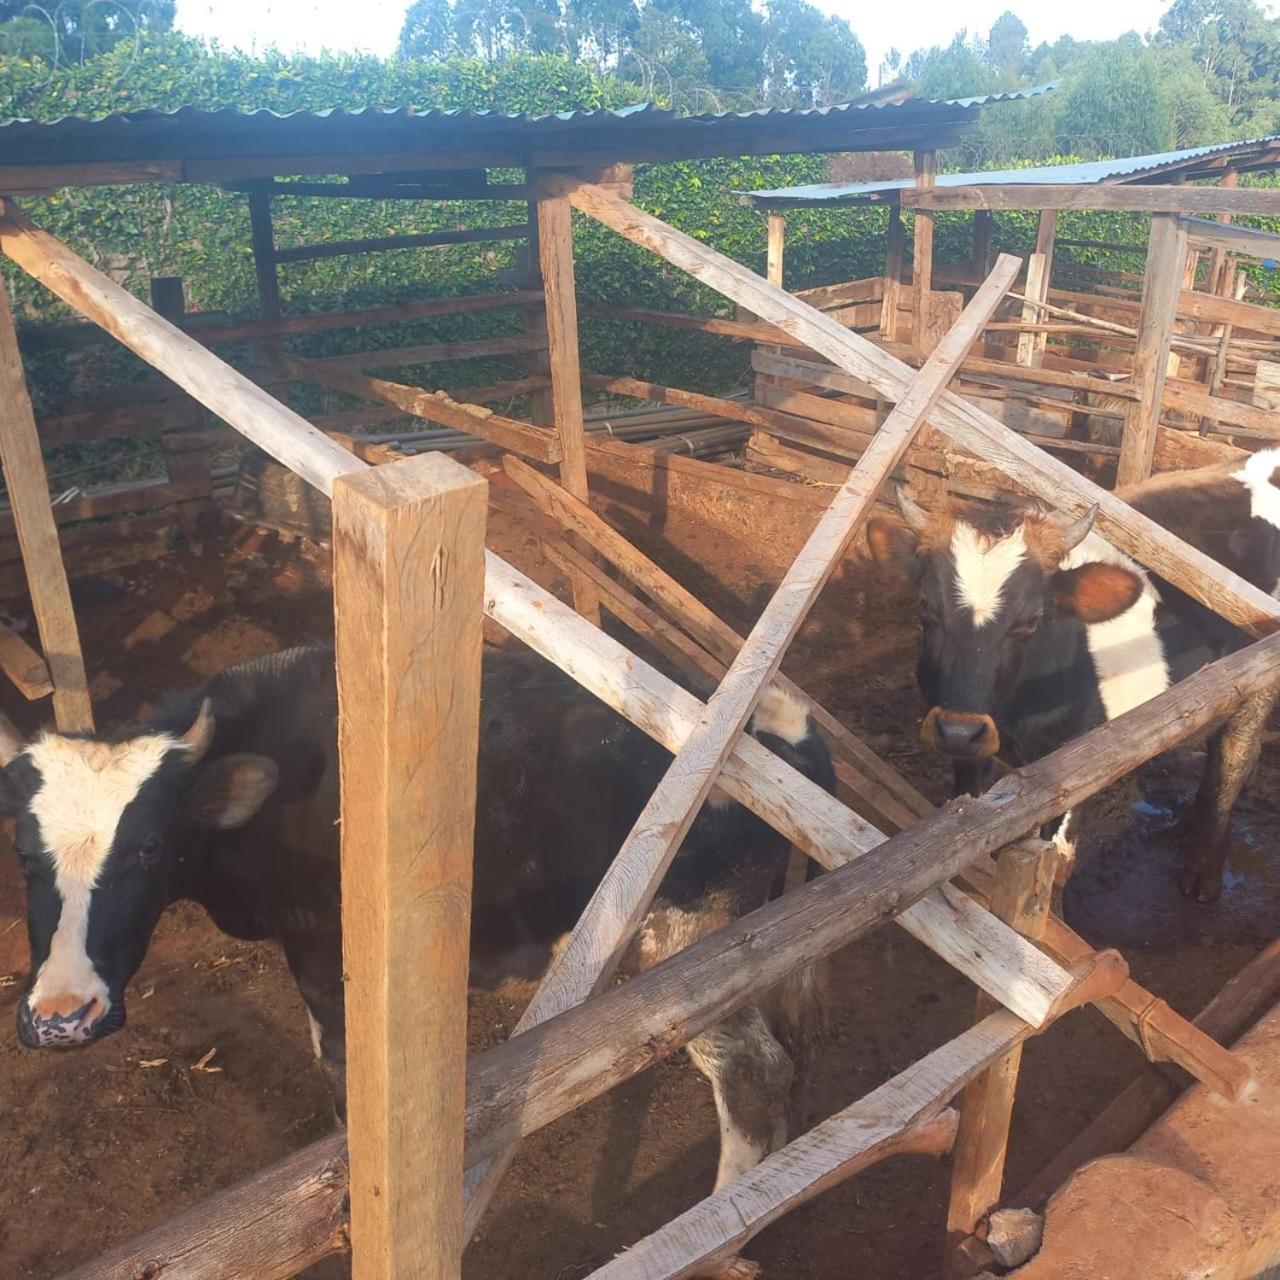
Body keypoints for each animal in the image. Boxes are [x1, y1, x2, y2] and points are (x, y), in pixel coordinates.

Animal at [5, 650, 839, 1198]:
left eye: (149, 845)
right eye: (21, 848)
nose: (61, 1016)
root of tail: (786, 723)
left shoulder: (328, 964)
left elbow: (343, 1084)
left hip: (693, 948)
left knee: (753, 1075)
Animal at [865, 448, 1280, 901]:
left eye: (1032, 618)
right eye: (926, 606)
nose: (959, 730)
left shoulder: (1074, 766)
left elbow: (1057, 860)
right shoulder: (974, 755)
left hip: (1259, 681)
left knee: (1234, 758)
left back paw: (1202, 876)